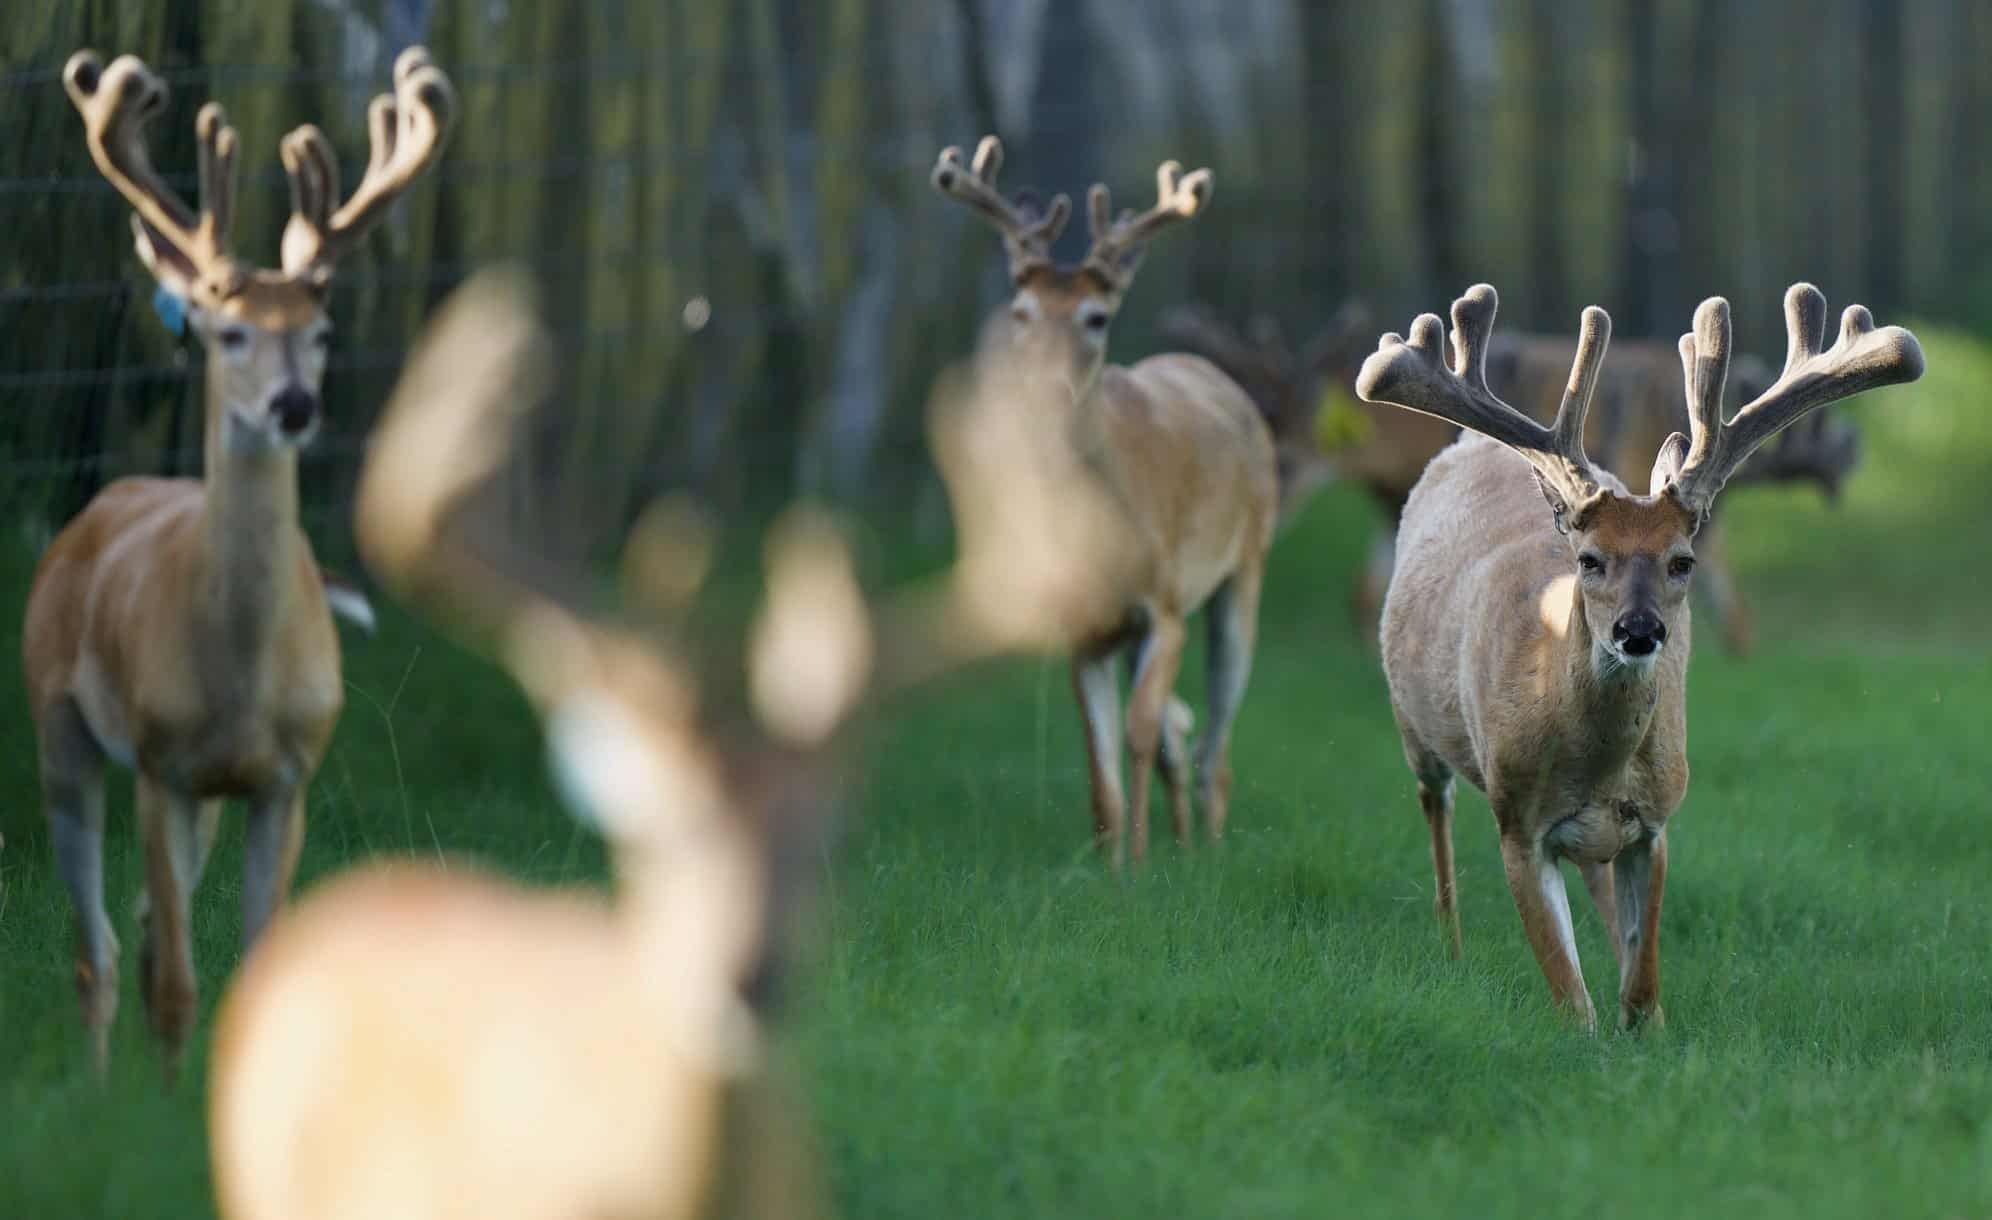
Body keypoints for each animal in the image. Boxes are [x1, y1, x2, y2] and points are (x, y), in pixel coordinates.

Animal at [22, 46, 452, 1080]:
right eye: (230, 330)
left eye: (323, 332)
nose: (294, 405)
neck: (240, 676)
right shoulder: (159, 761)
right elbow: (179, 983)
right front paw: (166, 1104)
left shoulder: (284, 777)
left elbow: (255, 962)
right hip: (60, 724)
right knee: (98, 946)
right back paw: (102, 1084)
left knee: (141, 927)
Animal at [931, 136, 1279, 867]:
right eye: (1022, 312)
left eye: (1097, 317)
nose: (1045, 396)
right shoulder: (1082, 628)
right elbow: (1099, 760)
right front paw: (1108, 862)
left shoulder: (1166, 605)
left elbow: (1138, 733)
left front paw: (1140, 864)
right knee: (1183, 731)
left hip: (1246, 567)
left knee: (1212, 742)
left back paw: (1209, 845)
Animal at [1354, 282, 1921, 1031]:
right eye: (1590, 559)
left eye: (1682, 560)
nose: (1639, 630)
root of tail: (1473, 443)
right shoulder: (1516, 821)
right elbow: (1573, 1002)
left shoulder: (1654, 824)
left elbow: (1642, 989)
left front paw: (1646, 1024)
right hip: (1412, 725)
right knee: (1436, 816)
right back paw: (1451, 948)